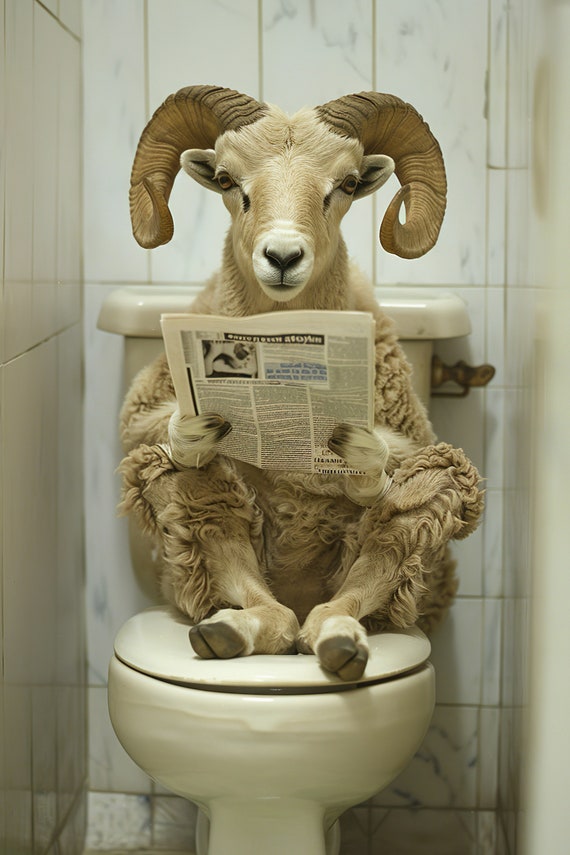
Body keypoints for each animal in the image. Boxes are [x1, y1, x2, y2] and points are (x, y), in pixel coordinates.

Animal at [119, 85, 484, 681]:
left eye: (347, 185)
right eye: (228, 180)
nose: (284, 256)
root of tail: (298, 595)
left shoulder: (413, 432)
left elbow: (397, 459)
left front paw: (362, 458)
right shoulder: (144, 409)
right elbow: (144, 427)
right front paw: (190, 430)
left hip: (425, 514)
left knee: (360, 579)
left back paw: (339, 641)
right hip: (195, 542)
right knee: (262, 599)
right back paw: (228, 631)